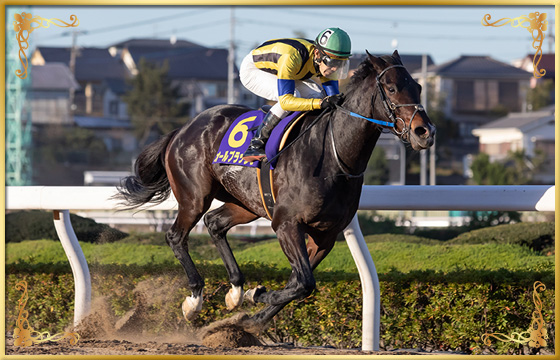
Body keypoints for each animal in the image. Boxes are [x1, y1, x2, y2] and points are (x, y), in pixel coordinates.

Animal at [116, 50, 436, 332]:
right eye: (392, 88)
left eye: (419, 87)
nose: (425, 132)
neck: (335, 157)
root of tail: (182, 130)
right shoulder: (287, 224)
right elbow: (304, 283)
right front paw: (257, 295)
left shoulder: (325, 235)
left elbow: (298, 283)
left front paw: (251, 318)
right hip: (195, 196)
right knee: (176, 236)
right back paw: (195, 300)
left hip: (244, 203)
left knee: (215, 223)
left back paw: (235, 289)